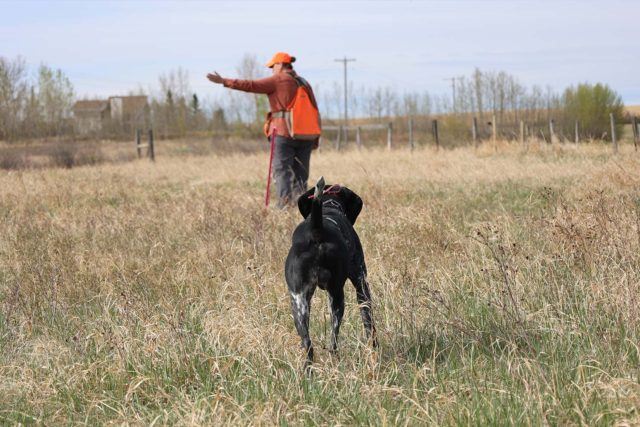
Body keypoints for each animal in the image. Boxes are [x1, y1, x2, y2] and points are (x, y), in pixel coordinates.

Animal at [284, 176, 376, 370]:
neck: (329, 206)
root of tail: (317, 230)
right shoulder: (361, 283)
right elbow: (369, 323)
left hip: (298, 303)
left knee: (308, 344)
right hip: (336, 297)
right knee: (333, 341)